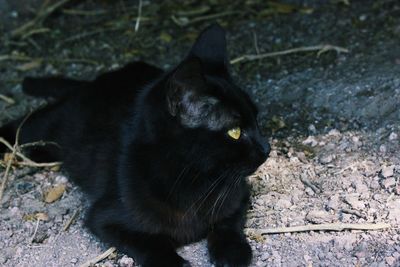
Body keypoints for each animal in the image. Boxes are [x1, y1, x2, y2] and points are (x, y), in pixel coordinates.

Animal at [0, 24, 270, 266]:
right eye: (235, 132)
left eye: (257, 120)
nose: (266, 148)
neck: (195, 180)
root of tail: (96, 81)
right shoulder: (104, 217)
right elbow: (149, 242)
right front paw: (175, 262)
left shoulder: (239, 195)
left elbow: (228, 223)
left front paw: (232, 252)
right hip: (49, 124)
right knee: (21, 124)